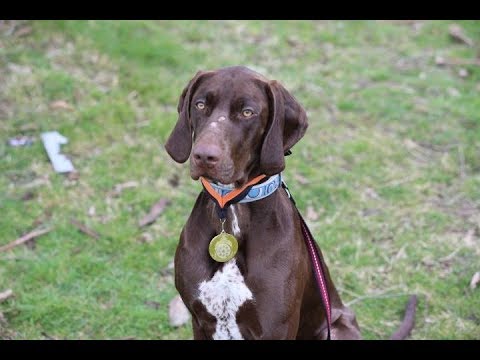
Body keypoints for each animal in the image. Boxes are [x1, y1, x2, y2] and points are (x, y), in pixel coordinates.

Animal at [164, 66, 360, 338]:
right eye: (200, 104)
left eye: (248, 112)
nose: (204, 156)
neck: (230, 209)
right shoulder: (200, 321)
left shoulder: (276, 327)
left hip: (340, 325)